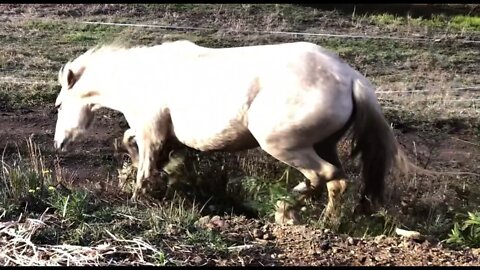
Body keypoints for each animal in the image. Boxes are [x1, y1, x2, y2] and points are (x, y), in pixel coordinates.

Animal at [51, 39, 412, 221]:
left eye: (58, 105)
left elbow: (145, 164)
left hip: (282, 144)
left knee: (323, 175)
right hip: (325, 144)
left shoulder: (152, 130)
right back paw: (326, 222)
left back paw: (285, 210)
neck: (142, 77)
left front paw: (138, 194)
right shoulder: (160, 133)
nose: (58, 143)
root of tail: (351, 78)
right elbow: (131, 143)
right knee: (336, 181)